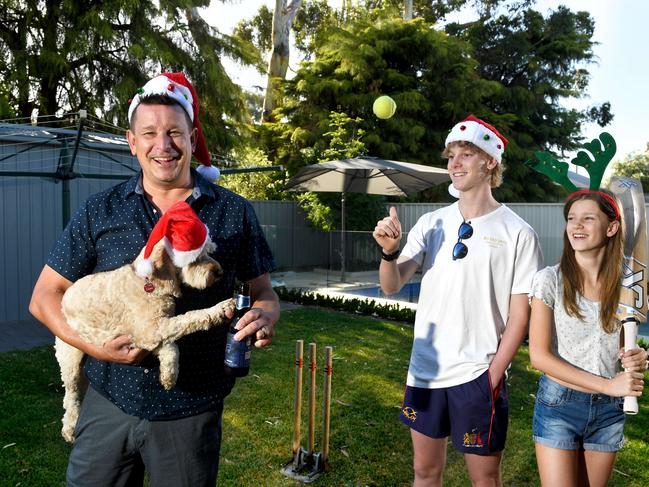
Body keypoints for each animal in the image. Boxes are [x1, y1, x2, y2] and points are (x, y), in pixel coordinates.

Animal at [55, 201, 233, 442]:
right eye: (196, 258)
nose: (220, 272)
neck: (148, 282)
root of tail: (64, 299)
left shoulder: (152, 335)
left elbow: (172, 348)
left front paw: (169, 374)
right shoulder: (150, 331)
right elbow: (190, 318)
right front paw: (219, 309)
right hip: (70, 356)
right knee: (70, 397)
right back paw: (70, 428)